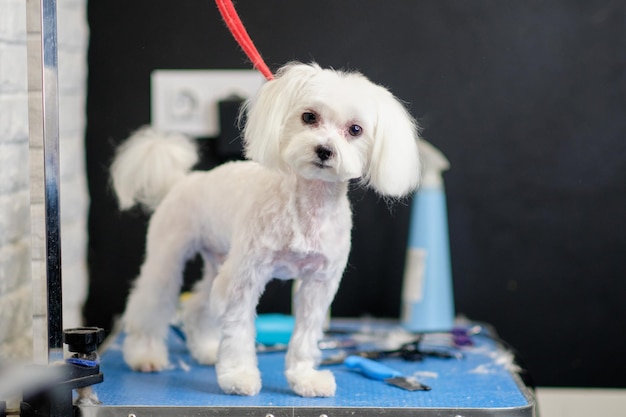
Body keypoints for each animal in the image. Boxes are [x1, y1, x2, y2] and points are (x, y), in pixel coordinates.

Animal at [109, 61, 420, 396]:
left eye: (355, 130)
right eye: (309, 116)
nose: (324, 150)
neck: (308, 208)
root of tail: (183, 181)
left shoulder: (318, 285)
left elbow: (305, 336)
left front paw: (304, 377)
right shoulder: (245, 278)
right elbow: (238, 330)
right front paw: (238, 375)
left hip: (221, 263)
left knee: (195, 306)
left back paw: (205, 349)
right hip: (169, 258)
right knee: (151, 304)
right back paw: (146, 355)